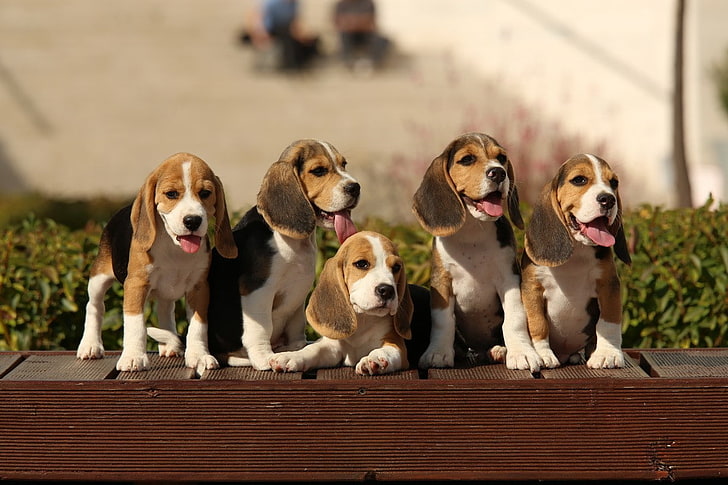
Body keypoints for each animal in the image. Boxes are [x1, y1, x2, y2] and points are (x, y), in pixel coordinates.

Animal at [73, 153, 235, 372]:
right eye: (171, 194)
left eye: (205, 193)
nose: (192, 220)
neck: (174, 247)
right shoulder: (136, 284)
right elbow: (135, 324)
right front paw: (133, 357)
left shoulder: (199, 287)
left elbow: (198, 325)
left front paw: (199, 356)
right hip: (99, 278)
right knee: (95, 306)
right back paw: (90, 346)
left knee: (165, 310)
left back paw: (169, 346)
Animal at [206, 138, 360, 368]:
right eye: (319, 171)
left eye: (344, 164)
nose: (355, 188)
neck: (292, 241)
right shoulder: (257, 289)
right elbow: (261, 328)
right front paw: (264, 358)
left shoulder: (299, 294)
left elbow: (296, 326)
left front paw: (297, 348)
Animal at [268, 231, 416, 374]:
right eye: (361, 263)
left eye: (396, 267)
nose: (387, 290)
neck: (363, 319)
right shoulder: (332, 347)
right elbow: (313, 349)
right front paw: (291, 356)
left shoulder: (396, 345)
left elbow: (384, 351)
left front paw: (374, 360)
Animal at [410, 132, 540, 370]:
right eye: (467, 159)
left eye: (501, 158)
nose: (498, 172)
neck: (473, 232)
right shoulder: (441, 281)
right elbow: (443, 321)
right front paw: (438, 353)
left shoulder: (509, 279)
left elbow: (514, 318)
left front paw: (522, 353)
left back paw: (499, 350)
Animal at [520, 153, 628, 368]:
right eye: (579, 180)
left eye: (614, 183)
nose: (608, 199)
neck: (578, 251)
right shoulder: (532, 287)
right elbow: (538, 324)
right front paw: (542, 354)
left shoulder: (608, 285)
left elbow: (609, 322)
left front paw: (608, 354)